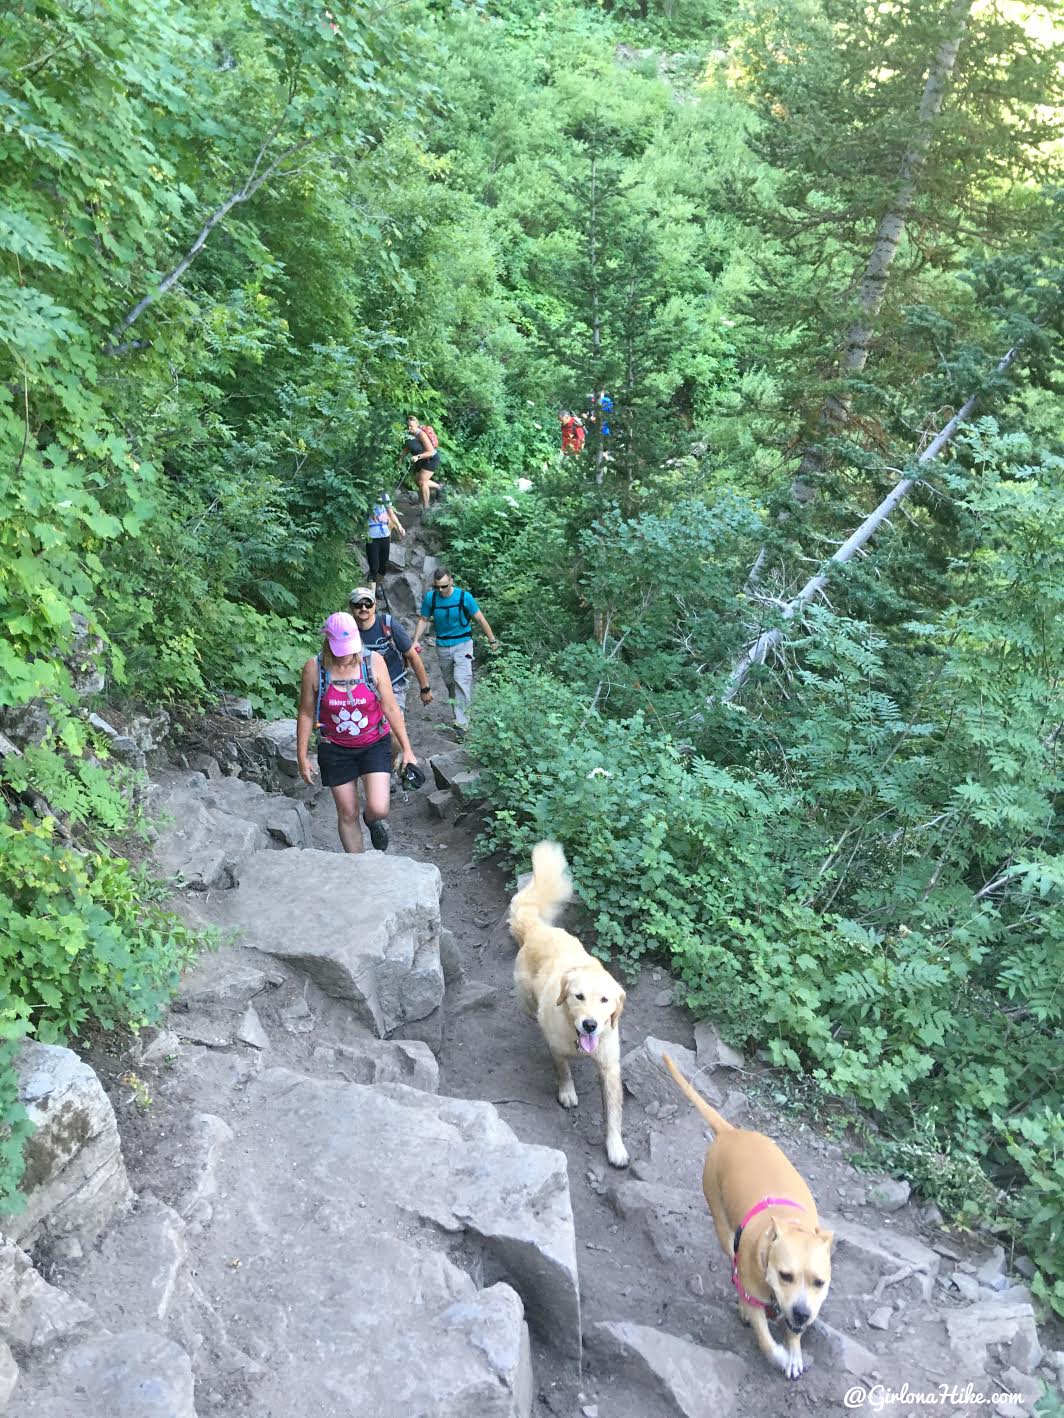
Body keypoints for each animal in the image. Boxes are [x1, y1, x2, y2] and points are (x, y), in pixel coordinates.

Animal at [513, 839, 629, 1162]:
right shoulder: (556, 1047)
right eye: (578, 996)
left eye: (604, 1000)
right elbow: (562, 1070)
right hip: (525, 997)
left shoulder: (610, 1065)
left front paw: (616, 1146)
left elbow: (613, 1113)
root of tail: (537, 928)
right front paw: (567, 1092)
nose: (590, 1025)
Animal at [666, 1054, 834, 1372]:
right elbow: (765, 1338)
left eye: (819, 1282)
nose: (803, 1313)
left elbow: (792, 1332)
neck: (789, 1224)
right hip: (722, 1224)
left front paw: (794, 1353)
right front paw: (779, 1354)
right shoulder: (754, 1292)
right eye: (785, 1275)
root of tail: (730, 1132)